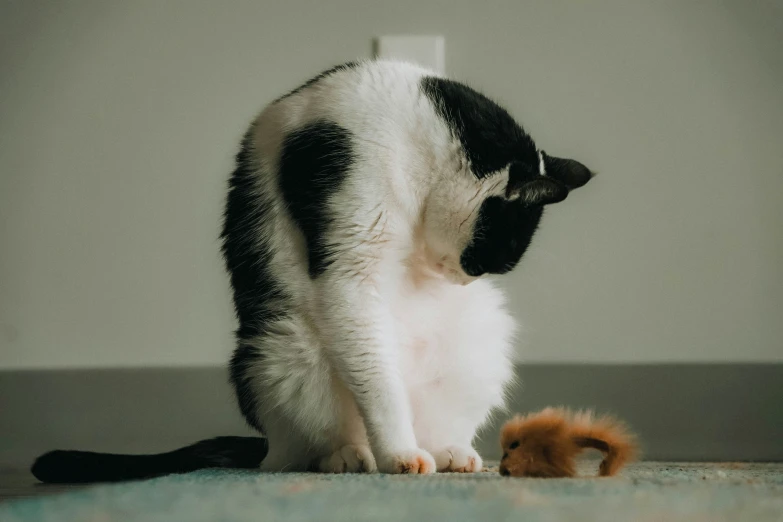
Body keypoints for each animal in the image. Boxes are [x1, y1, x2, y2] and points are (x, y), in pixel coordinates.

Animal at [30, 60, 596, 480]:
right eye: (497, 252)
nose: (463, 280)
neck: (412, 133)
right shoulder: (350, 262)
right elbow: (379, 383)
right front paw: (399, 456)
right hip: (286, 346)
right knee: (302, 449)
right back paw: (350, 456)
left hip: (481, 337)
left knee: (435, 420)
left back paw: (451, 451)